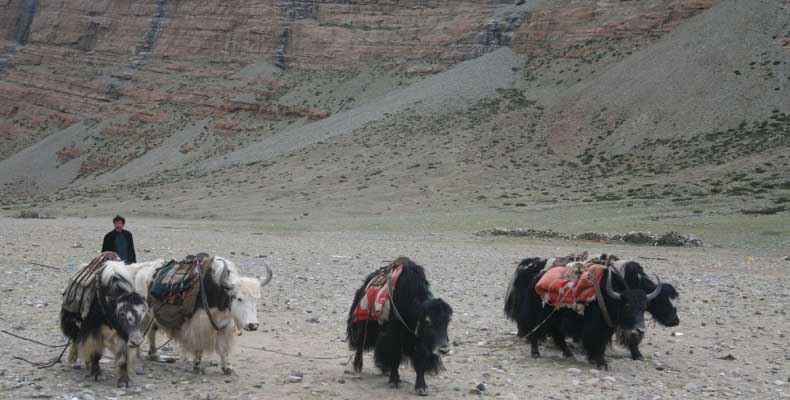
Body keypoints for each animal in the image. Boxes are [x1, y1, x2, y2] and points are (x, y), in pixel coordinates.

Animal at [60, 256, 148, 388]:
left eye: (142, 312)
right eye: (121, 314)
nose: (136, 341)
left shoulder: (123, 334)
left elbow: (123, 357)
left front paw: (124, 381)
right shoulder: (93, 329)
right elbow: (95, 351)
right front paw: (97, 374)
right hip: (74, 322)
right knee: (76, 339)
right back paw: (76, 360)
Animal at [129, 255, 272, 374]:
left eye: (257, 299)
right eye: (239, 298)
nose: (253, 325)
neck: (217, 290)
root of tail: (136, 270)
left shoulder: (223, 325)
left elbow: (223, 348)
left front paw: (227, 368)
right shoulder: (198, 324)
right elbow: (199, 346)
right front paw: (197, 365)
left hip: (152, 317)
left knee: (151, 332)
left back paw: (155, 356)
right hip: (142, 316)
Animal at [346, 257, 453, 396]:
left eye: (448, 321)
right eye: (427, 321)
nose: (444, 349)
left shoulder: (419, 339)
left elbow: (420, 358)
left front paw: (421, 387)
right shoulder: (394, 334)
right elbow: (394, 354)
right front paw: (394, 380)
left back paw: (384, 369)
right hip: (365, 323)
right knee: (360, 343)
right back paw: (358, 366)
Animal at [504, 257, 662, 369]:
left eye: (644, 307)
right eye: (627, 306)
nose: (640, 330)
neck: (610, 298)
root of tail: (537, 279)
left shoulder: (606, 329)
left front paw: (593, 359)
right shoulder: (596, 329)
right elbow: (598, 344)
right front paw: (601, 363)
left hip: (555, 319)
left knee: (557, 335)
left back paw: (568, 353)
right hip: (540, 317)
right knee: (536, 331)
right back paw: (535, 353)